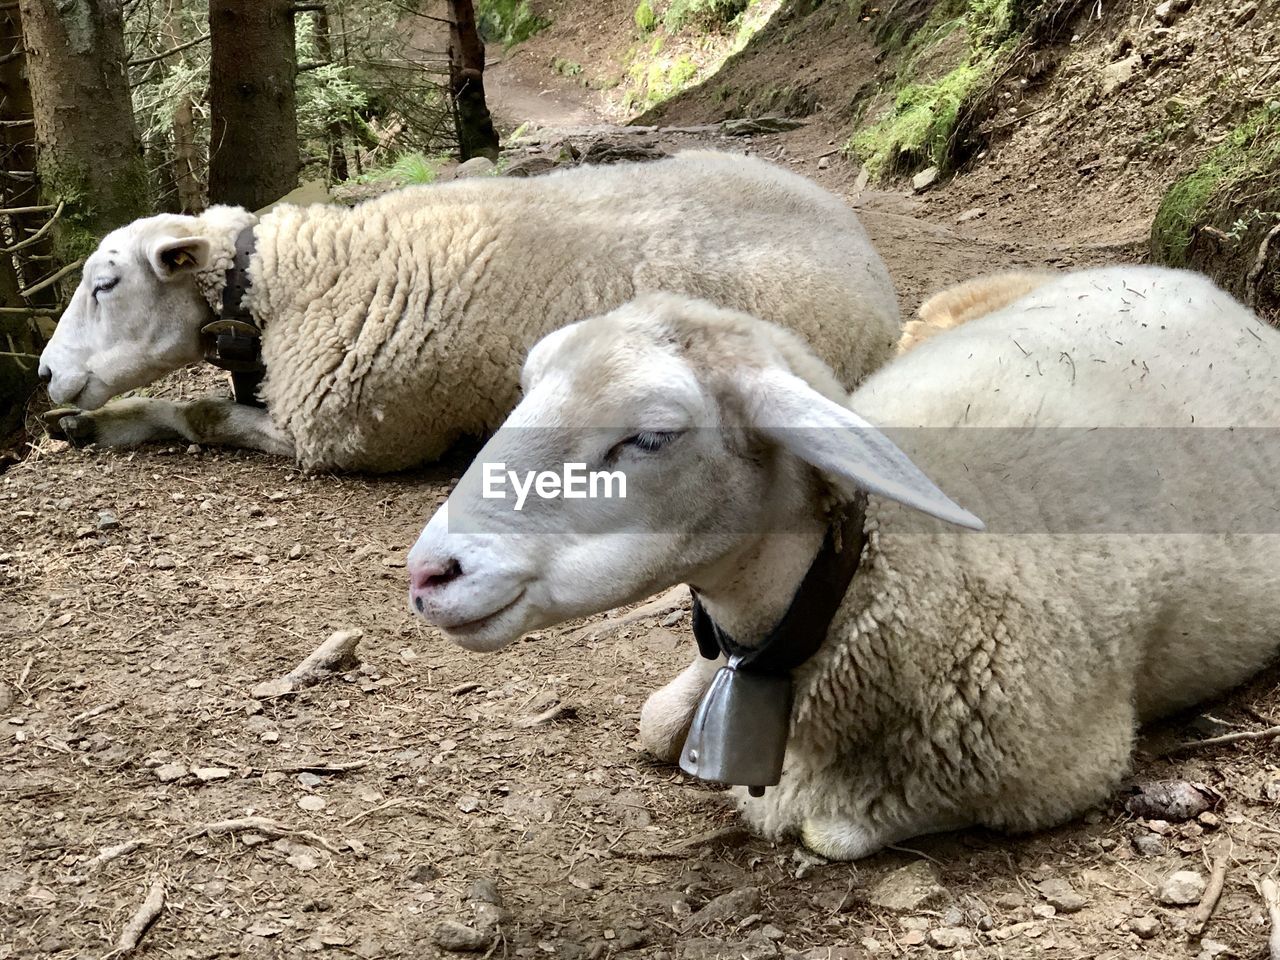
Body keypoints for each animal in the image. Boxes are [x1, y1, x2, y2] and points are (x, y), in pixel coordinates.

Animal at [37, 150, 901, 473]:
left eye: (105, 284)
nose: (43, 373)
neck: (295, 283)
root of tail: (860, 242)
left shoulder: (353, 439)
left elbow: (208, 416)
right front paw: (90, 424)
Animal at [404, 264, 1280, 865]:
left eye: (651, 435)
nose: (428, 574)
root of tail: (1204, 286)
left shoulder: (1065, 767)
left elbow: (829, 830)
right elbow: (655, 725)